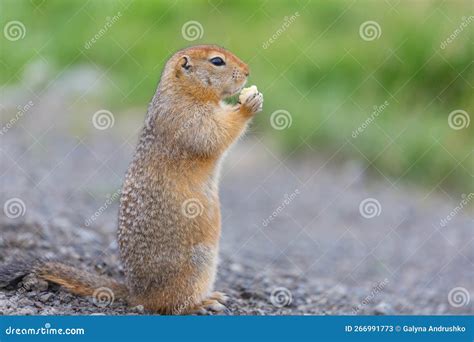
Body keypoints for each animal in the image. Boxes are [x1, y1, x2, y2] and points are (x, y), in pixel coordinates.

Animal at [0, 45, 262, 316]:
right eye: (217, 61)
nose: (247, 71)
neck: (184, 92)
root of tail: (136, 292)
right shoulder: (188, 117)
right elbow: (212, 133)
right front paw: (249, 104)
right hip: (197, 265)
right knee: (171, 304)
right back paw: (202, 303)